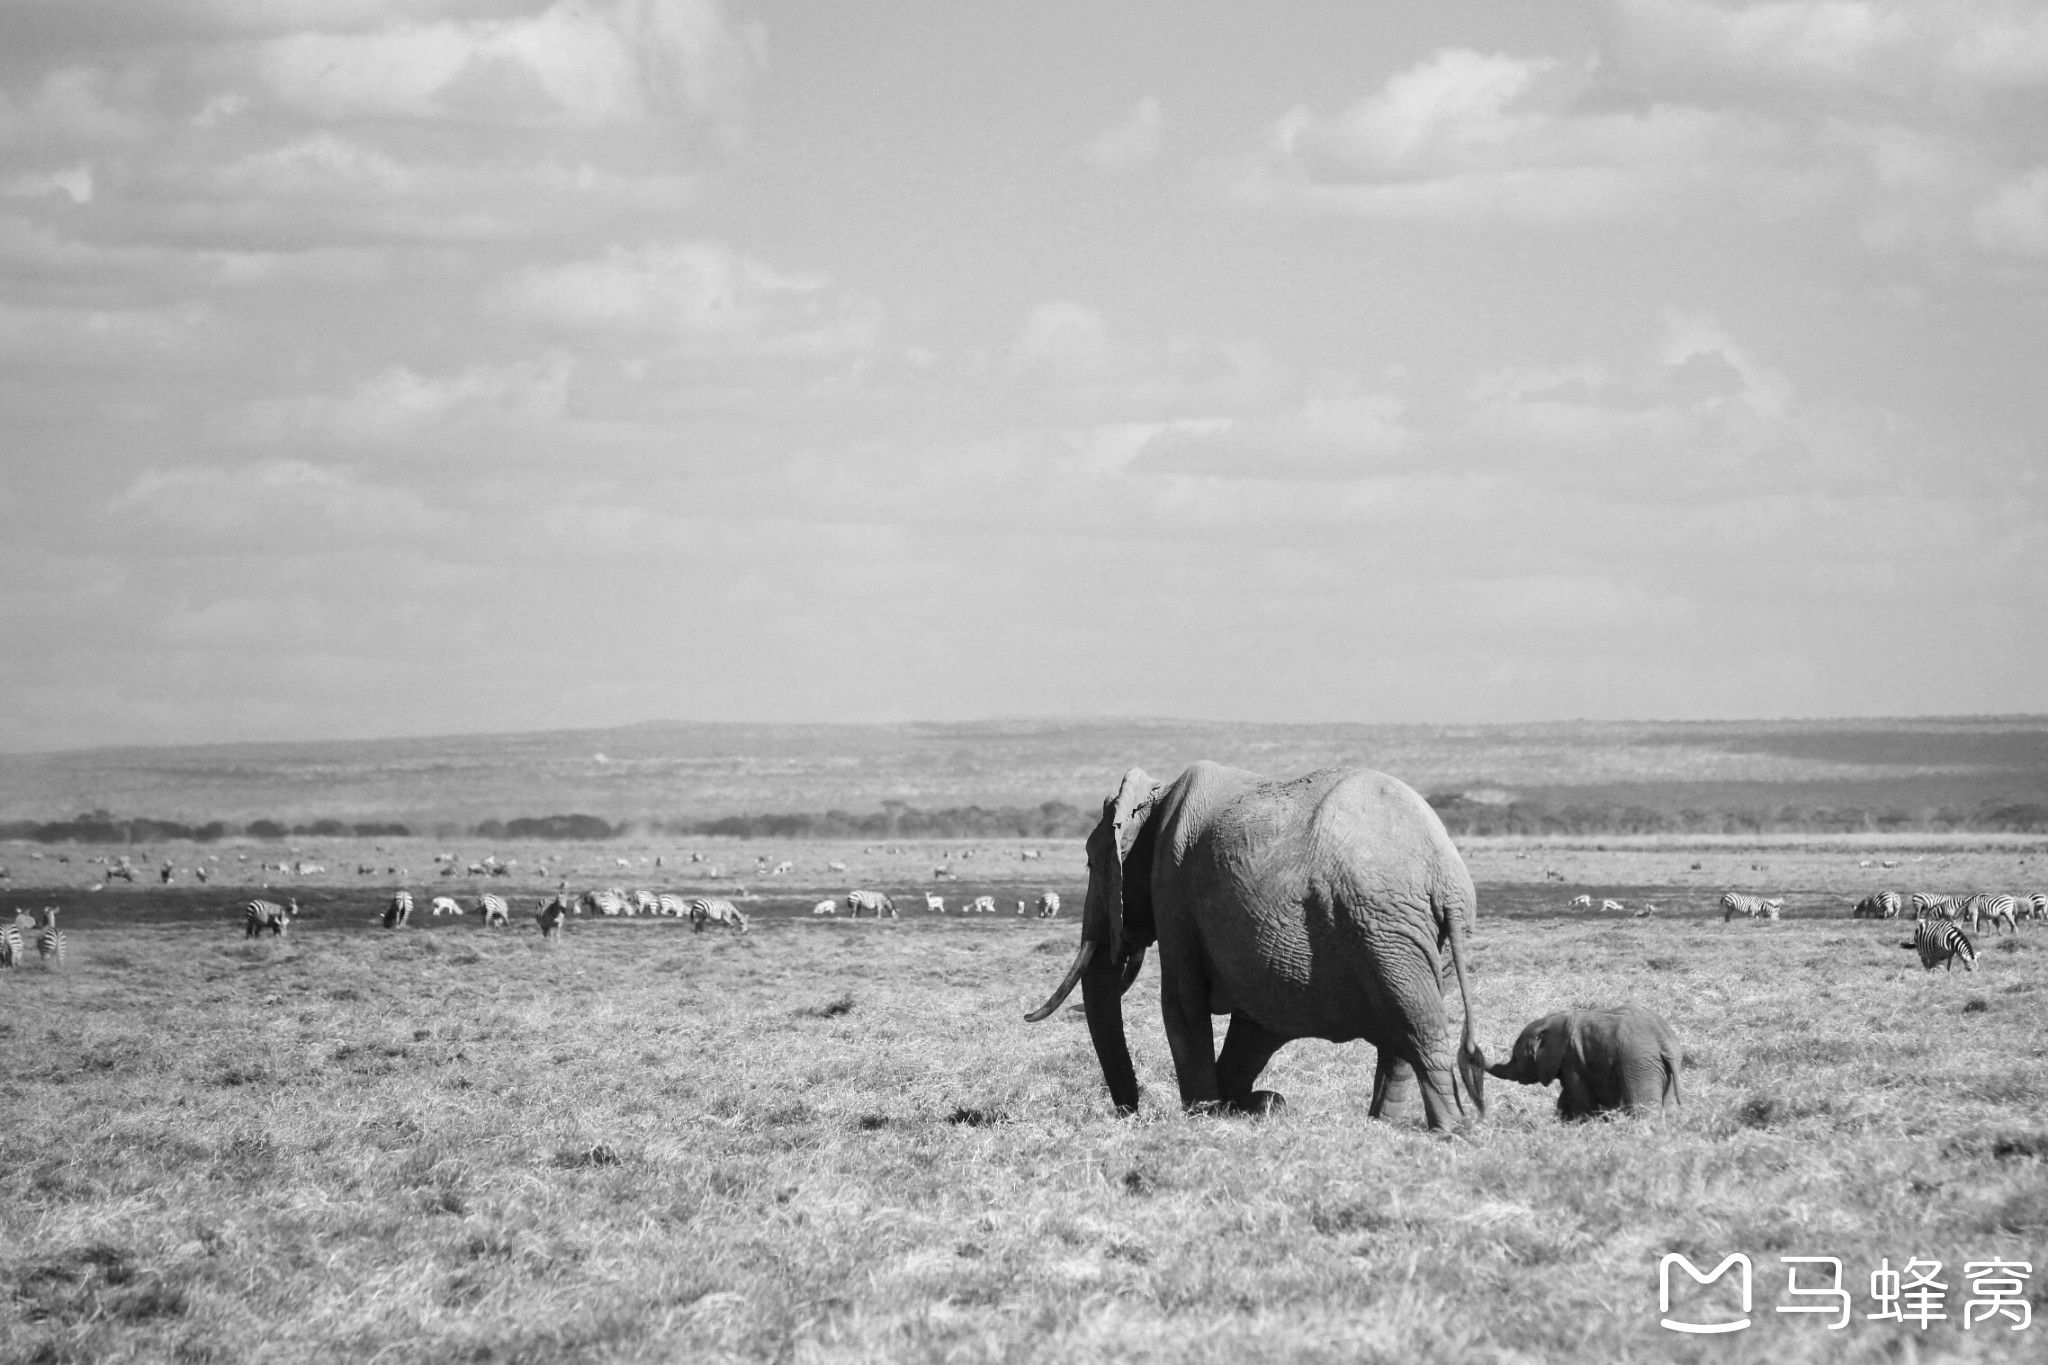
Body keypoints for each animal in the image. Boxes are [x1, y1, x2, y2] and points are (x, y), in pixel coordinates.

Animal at [1032, 757, 1482, 1129]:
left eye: (1091, 862)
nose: (1131, 1112)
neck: (1155, 798)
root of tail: (1444, 873)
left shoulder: (1172, 884)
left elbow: (1182, 1002)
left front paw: (1205, 1113)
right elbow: (1256, 1022)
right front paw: (1251, 1103)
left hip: (1382, 930)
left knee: (1416, 1025)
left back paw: (1448, 1130)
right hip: (1414, 936)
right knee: (1404, 1036)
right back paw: (1383, 1125)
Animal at [1490, 1002, 1679, 1121]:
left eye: (1515, 1058)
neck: (1553, 1021)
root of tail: (1663, 1039)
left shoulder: (1571, 1060)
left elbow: (1580, 1100)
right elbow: (1566, 1099)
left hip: (1638, 1062)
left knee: (1642, 1108)